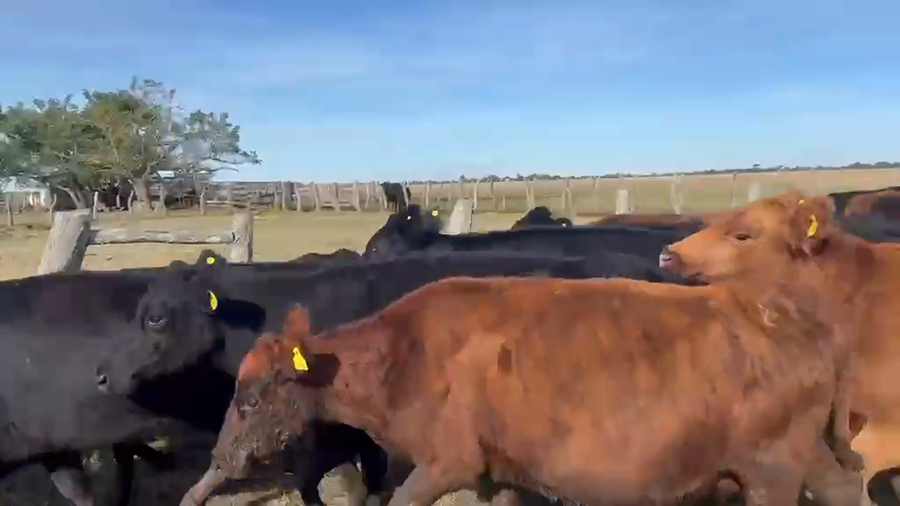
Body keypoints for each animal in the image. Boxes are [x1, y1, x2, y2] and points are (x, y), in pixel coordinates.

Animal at [178, 260, 861, 506]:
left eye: (251, 397)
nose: (220, 459)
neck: (406, 357)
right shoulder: (501, 473)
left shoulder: (446, 463)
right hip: (804, 456)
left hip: (770, 470)